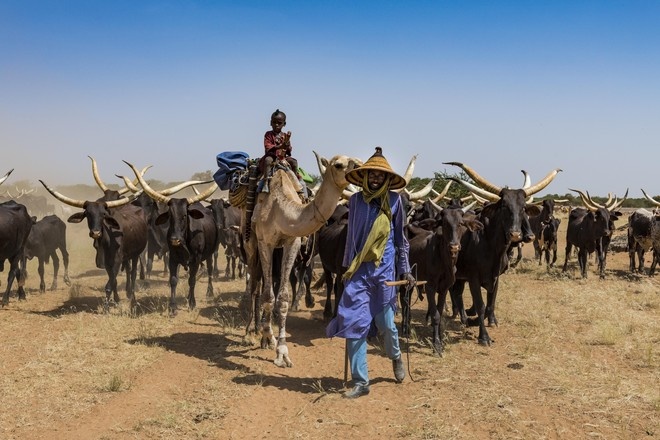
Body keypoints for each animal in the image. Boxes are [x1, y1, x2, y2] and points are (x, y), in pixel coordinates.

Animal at [241, 155, 356, 368]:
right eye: (338, 165)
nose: (358, 168)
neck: (281, 209)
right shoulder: (265, 242)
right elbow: (268, 295)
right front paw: (268, 337)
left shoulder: (291, 242)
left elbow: (282, 297)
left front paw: (281, 351)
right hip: (250, 242)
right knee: (254, 284)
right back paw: (250, 332)